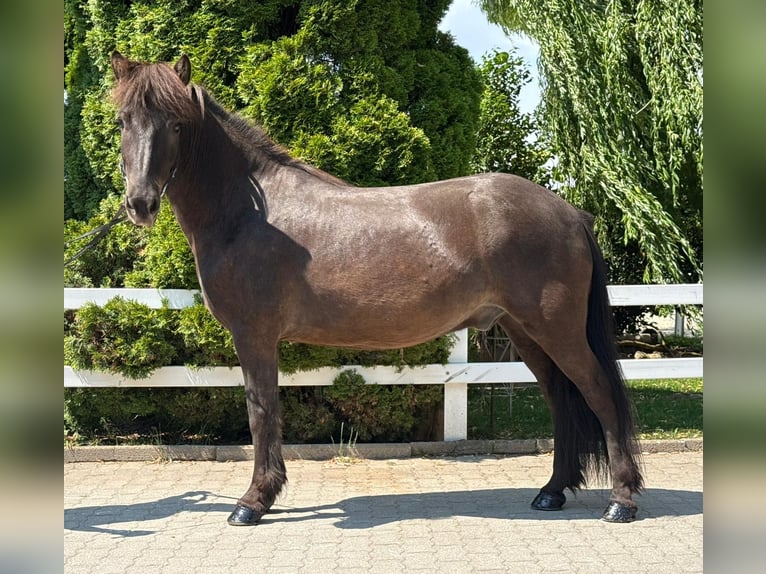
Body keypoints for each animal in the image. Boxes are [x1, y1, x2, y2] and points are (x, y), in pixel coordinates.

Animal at [109, 52, 643, 525]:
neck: (249, 213)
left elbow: (261, 412)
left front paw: (253, 502)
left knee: (599, 394)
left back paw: (621, 500)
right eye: (122, 121)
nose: (140, 204)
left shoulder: (254, 335)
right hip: (524, 332)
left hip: (556, 329)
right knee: (561, 399)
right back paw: (552, 492)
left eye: (177, 124)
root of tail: (571, 213)